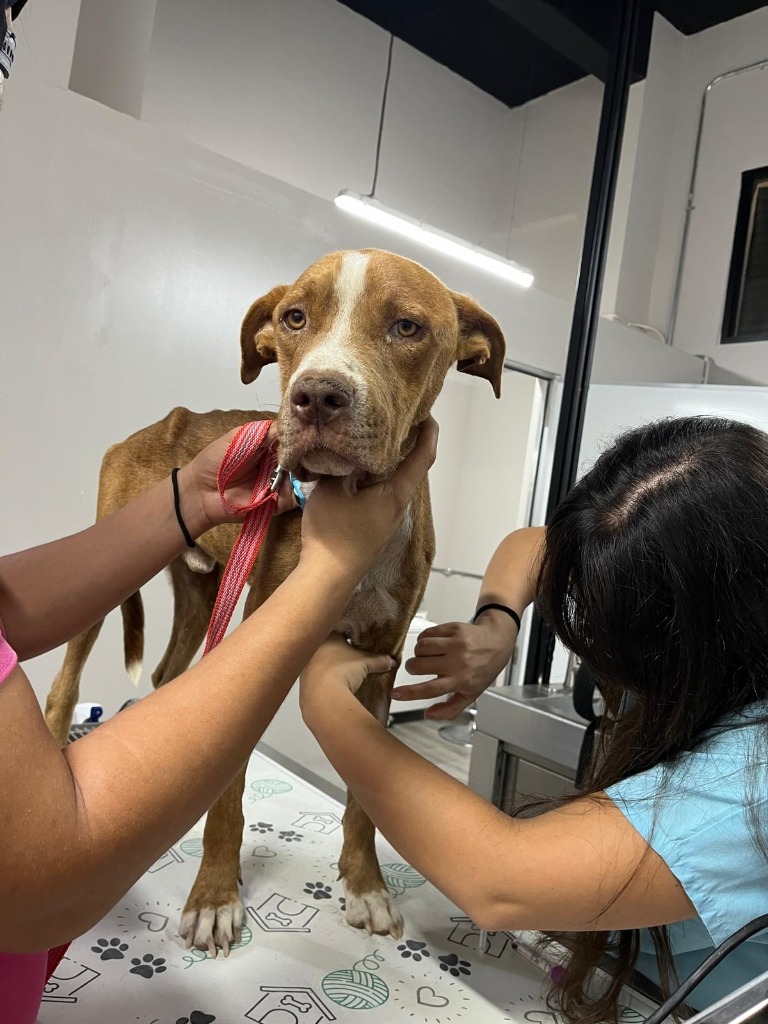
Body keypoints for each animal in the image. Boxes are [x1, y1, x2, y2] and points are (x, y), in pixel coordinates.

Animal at [46, 251, 505, 954]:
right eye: (294, 318)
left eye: (407, 326)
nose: (316, 395)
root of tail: (161, 424)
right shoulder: (257, 643)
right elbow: (229, 789)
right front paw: (214, 895)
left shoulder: (380, 661)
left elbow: (364, 798)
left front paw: (365, 885)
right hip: (106, 579)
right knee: (64, 686)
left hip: (201, 593)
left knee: (167, 678)